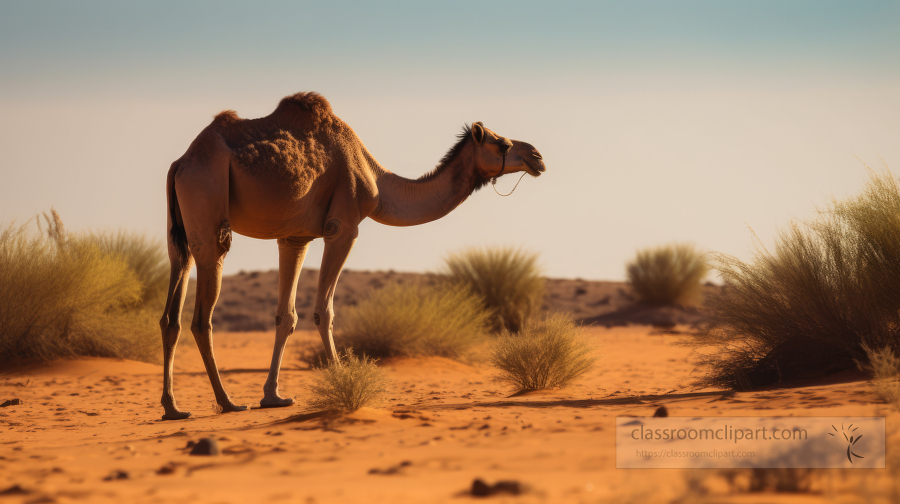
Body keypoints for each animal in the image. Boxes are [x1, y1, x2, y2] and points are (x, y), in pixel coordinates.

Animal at [158, 92, 544, 420]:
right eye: (503, 143)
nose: (538, 157)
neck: (377, 179)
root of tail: (181, 163)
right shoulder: (342, 226)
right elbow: (324, 311)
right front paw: (343, 383)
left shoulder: (295, 236)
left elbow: (286, 316)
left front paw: (274, 397)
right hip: (208, 201)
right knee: (201, 315)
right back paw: (227, 402)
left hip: (182, 233)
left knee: (171, 308)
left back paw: (173, 407)